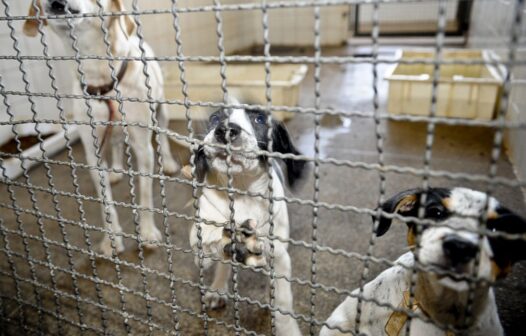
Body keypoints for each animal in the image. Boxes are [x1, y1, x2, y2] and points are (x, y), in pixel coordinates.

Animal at [23, 0, 182, 255]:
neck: (100, 78)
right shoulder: (93, 152)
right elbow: (107, 204)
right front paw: (112, 239)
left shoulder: (142, 147)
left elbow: (145, 195)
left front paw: (148, 232)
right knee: (116, 144)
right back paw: (116, 169)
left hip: (161, 112)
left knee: (163, 138)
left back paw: (167, 162)